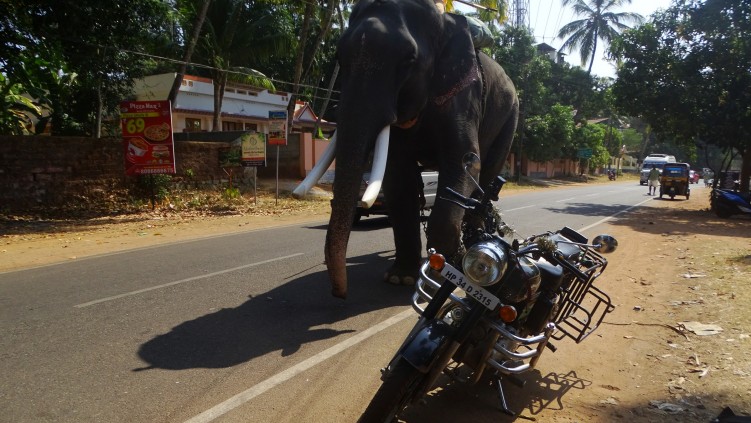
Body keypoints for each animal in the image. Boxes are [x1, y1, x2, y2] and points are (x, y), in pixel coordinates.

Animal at [294, 0, 516, 300]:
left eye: (409, 60)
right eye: (339, 56)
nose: (340, 293)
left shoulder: (461, 94)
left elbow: (464, 163)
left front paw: (439, 274)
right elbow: (398, 179)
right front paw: (401, 278)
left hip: (510, 118)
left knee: (486, 181)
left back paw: (469, 246)